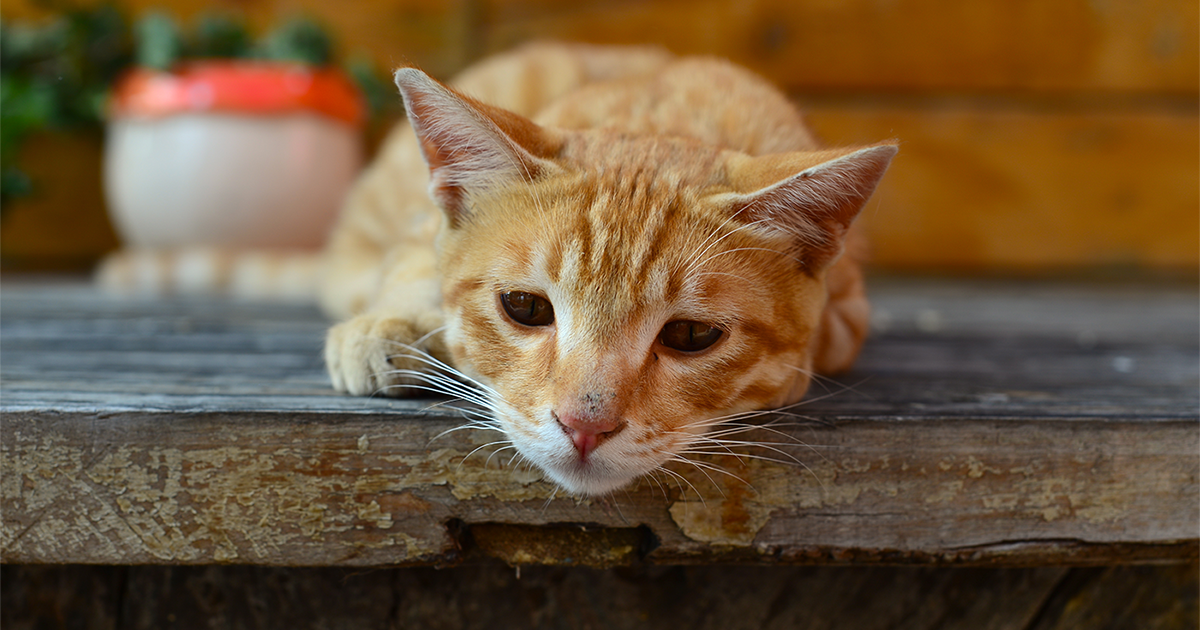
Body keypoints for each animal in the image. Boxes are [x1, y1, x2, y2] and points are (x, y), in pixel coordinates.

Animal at [314, 44, 897, 496]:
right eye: (524, 307)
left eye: (692, 335)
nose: (584, 427)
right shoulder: (420, 230)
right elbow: (415, 264)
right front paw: (389, 323)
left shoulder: (848, 311)